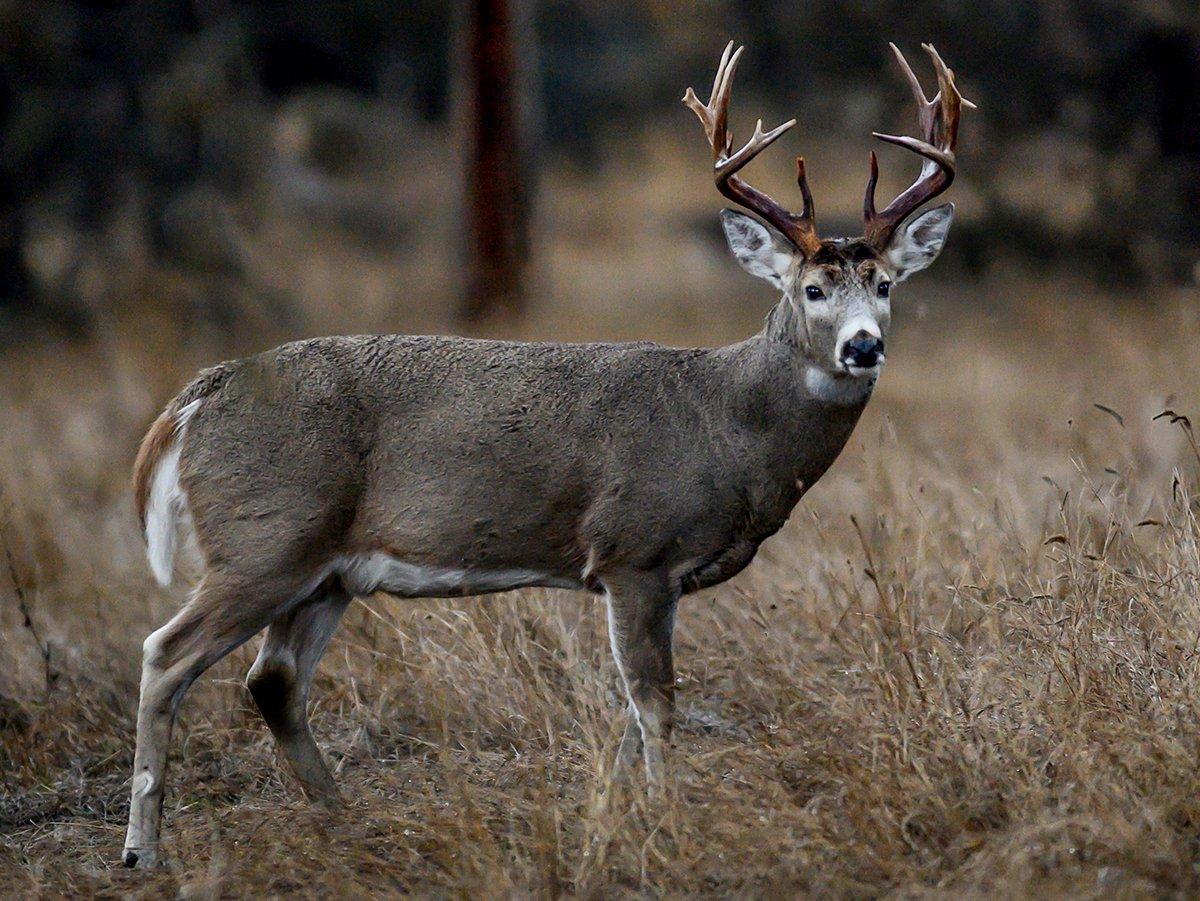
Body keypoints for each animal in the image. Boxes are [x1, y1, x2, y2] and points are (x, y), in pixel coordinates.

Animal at [121, 42, 964, 868]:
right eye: (813, 290)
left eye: (885, 285)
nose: (864, 346)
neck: (727, 421)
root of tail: (196, 396)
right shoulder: (634, 551)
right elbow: (655, 703)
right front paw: (668, 823)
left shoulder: (658, 576)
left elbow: (633, 712)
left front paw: (621, 815)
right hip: (265, 540)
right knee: (166, 653)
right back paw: (143, 849)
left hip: (325, 571)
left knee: (273, 680)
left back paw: (344, 821)